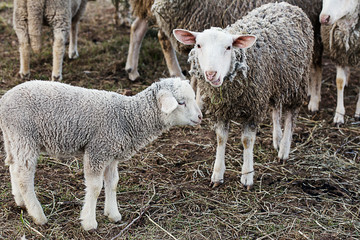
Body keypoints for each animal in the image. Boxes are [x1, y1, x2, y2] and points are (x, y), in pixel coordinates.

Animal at [0, 78, 202, 231]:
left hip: (12, 138)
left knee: (13, 166)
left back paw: (20, 201)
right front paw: (89, 222)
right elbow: (96, 187)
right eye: (181, 102)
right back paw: (38, 215)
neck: (127, 117)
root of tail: (5, 99)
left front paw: (113, 214)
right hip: (24, 136)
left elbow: (112, 183)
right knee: (24, 176)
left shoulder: (111, 154)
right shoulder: (98, 150)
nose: (200, 117)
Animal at [173, 2, 314, 188]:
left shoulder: (253, 107)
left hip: (297, 81)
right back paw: (277, 139)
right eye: (198, 45)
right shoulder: (222, 108)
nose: (211, 74)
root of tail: (284, 4)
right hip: (275, 80)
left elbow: (247, 141)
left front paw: (247, 176)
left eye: (228, 47)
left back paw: (283, 150)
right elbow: (220, 139)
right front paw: (217, 175)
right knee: (276, 108)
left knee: (291, 115)